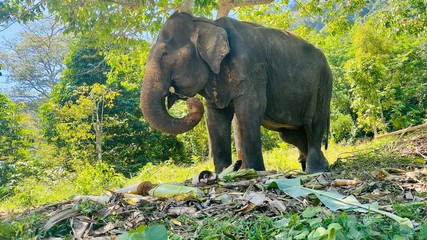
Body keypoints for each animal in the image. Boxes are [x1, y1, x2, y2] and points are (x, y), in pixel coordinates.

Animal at [141, 11, 334, 173]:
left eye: (164, 54)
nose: (189, 102)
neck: (208, 23)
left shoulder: (251, 70)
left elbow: (249, 112)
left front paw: (254, 172)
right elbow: (216, 119)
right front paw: (222, 174)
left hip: (324, 84)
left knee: (315, 123)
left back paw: (315, 170)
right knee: (290, 134)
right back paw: (317, 164)